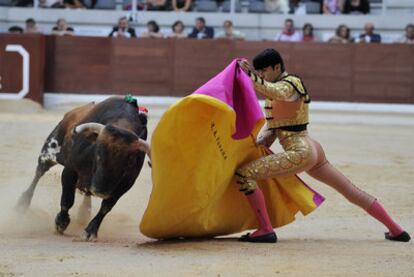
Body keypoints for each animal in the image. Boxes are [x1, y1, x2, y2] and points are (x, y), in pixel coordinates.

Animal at [17, 97, 151, 239]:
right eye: (98, 153)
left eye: (129, 162)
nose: (100, 191)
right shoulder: (70, 170)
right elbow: (67, 198)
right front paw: (61, 222)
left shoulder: (125, 185)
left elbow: (106, 207)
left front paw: (91, 230)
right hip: (49, 150)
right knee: (39, 173)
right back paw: (22, 204)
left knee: (87, 192)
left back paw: (84, 213)